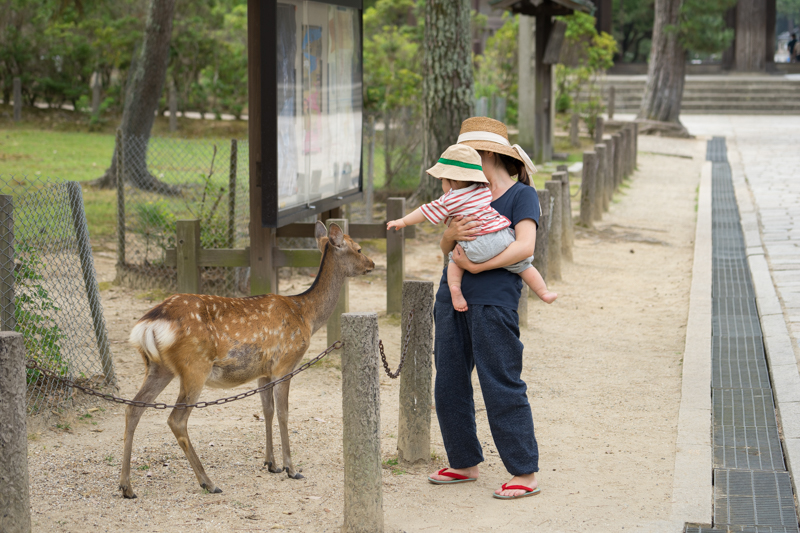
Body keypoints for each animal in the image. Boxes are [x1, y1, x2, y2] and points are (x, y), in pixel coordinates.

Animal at [119, 220, 376, 498]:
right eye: (359, 248)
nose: (373, 264)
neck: (306, 314)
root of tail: (148, 323)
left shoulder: (264, 371)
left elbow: (267, 411)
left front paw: (271, 464)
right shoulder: (285, 363)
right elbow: (284, 413)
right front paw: (291, 468)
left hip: (158, 367)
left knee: (133, 408)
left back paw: (126, 486)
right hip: (194, 366)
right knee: (176, 419)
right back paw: (208, 482)